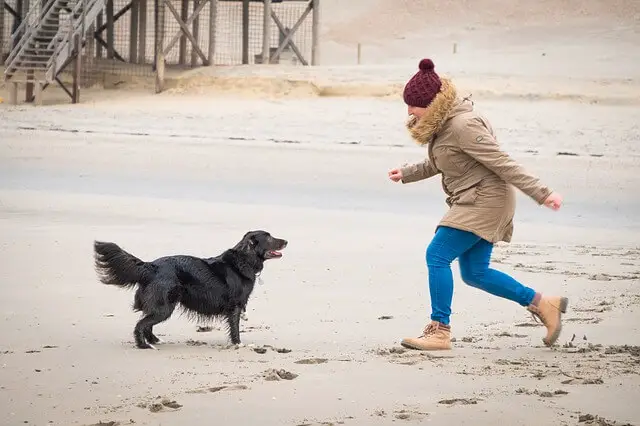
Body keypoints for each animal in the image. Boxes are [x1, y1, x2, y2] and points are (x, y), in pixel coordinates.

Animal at [93, 231, 288, 348]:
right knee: (141, 325)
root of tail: (151, 267)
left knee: (146, 323)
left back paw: (156, 340)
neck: (243, 260)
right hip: (165, 307)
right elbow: (235, 328)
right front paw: (238, 344)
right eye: (269, 238)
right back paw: (144, 345)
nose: (286, 241)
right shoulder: (235, 307)